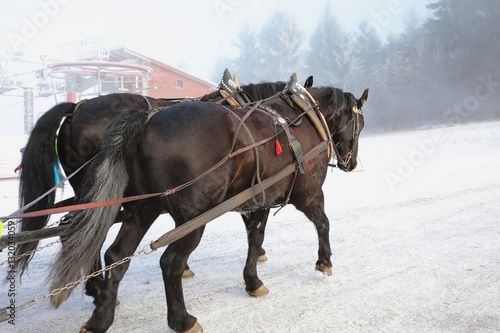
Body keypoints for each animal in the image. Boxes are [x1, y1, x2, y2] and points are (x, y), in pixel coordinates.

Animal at [48, 81, 368, 330]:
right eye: (360, 123)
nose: (350, 163)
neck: (301, 117)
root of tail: (146, 121)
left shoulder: (257, 199)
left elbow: (255, 238)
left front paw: (252, 281)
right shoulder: (309, 193)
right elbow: (323, 223)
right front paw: (324, 262)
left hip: (142, 209)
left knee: (115, 254)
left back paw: (101, 315)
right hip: (192, 217)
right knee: (169, 261)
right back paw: (181, 319)